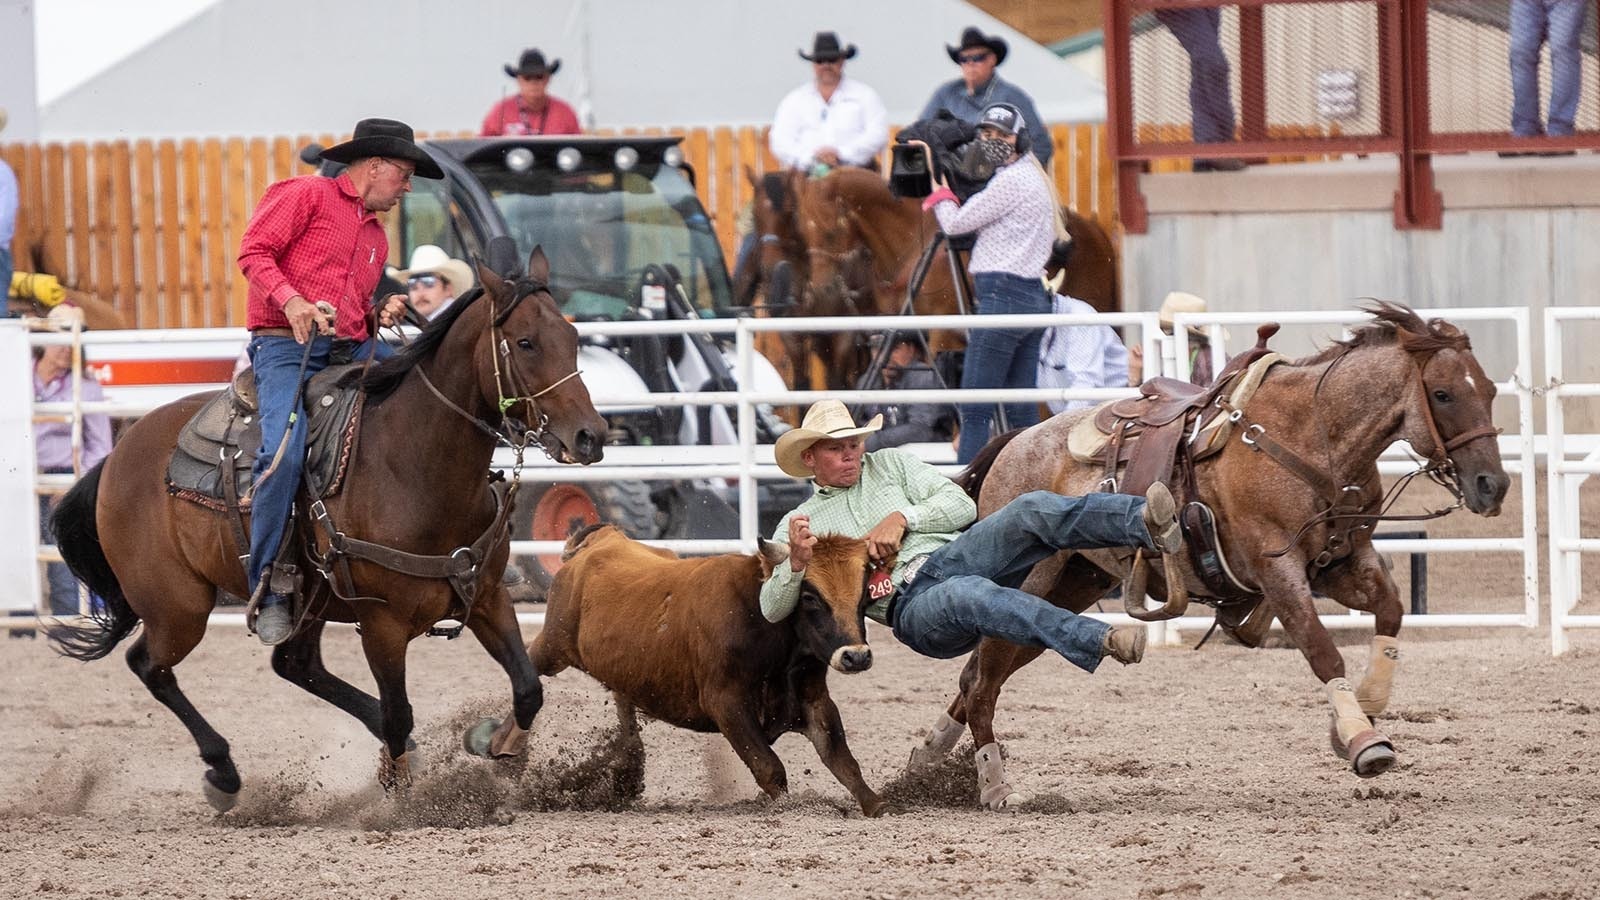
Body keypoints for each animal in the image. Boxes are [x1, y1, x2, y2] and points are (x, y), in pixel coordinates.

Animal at [45, 246, 604, 813]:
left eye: (572, 336)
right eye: (526, 342)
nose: (591, 436)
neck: (411, 464)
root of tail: (117, 456)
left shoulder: (487, 595)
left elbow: (528, 688)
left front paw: (500, 747)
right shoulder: (382, 622)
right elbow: (399, 713)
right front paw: (397, 798)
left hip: (306, 597)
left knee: (293, 663)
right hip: (178, 606)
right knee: (150, 665)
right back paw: (223, 772)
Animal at [464, 518, 889, 813]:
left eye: (863, 593)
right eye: (811, 596)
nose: (855, 656)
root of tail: (605, 539)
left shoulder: (814, 700)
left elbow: (843, 761)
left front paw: (876, 803)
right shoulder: (726, 705)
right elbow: (769, 767)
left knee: (622, 702)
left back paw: (627, 767)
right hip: (553, 644)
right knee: (529, 675)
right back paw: (499, 743)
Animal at [908, 302, 1504, 807]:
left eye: (1492, 389)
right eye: (1443, 394)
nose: (1492, 486)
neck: (1311, 439)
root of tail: (1013, 443)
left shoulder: (1340, 563)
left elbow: (1391, 611)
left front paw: (1367, 708)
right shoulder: (1276, 567)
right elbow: (1321, 651)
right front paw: (1362, 740)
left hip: (1072, 586)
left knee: (979, 674)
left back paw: (924, 763)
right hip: (1029, 581)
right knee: (983, 679)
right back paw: (991, 785)